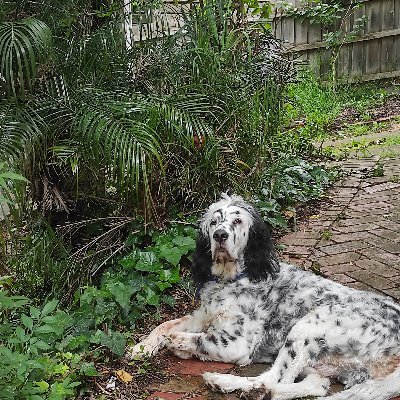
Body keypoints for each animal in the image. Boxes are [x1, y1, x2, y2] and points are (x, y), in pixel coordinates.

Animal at [127, 192, 400, 398]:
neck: (232, 278)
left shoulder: (235, 345)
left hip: (309, 326)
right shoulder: (203, 315)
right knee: (314, 385)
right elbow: (164, 325)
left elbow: (195, 338)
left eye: (237, 221)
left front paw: (177, 344)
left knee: (274, 379)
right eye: (214, 222)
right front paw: (140, 348)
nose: (219, 236)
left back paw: (226, 382)